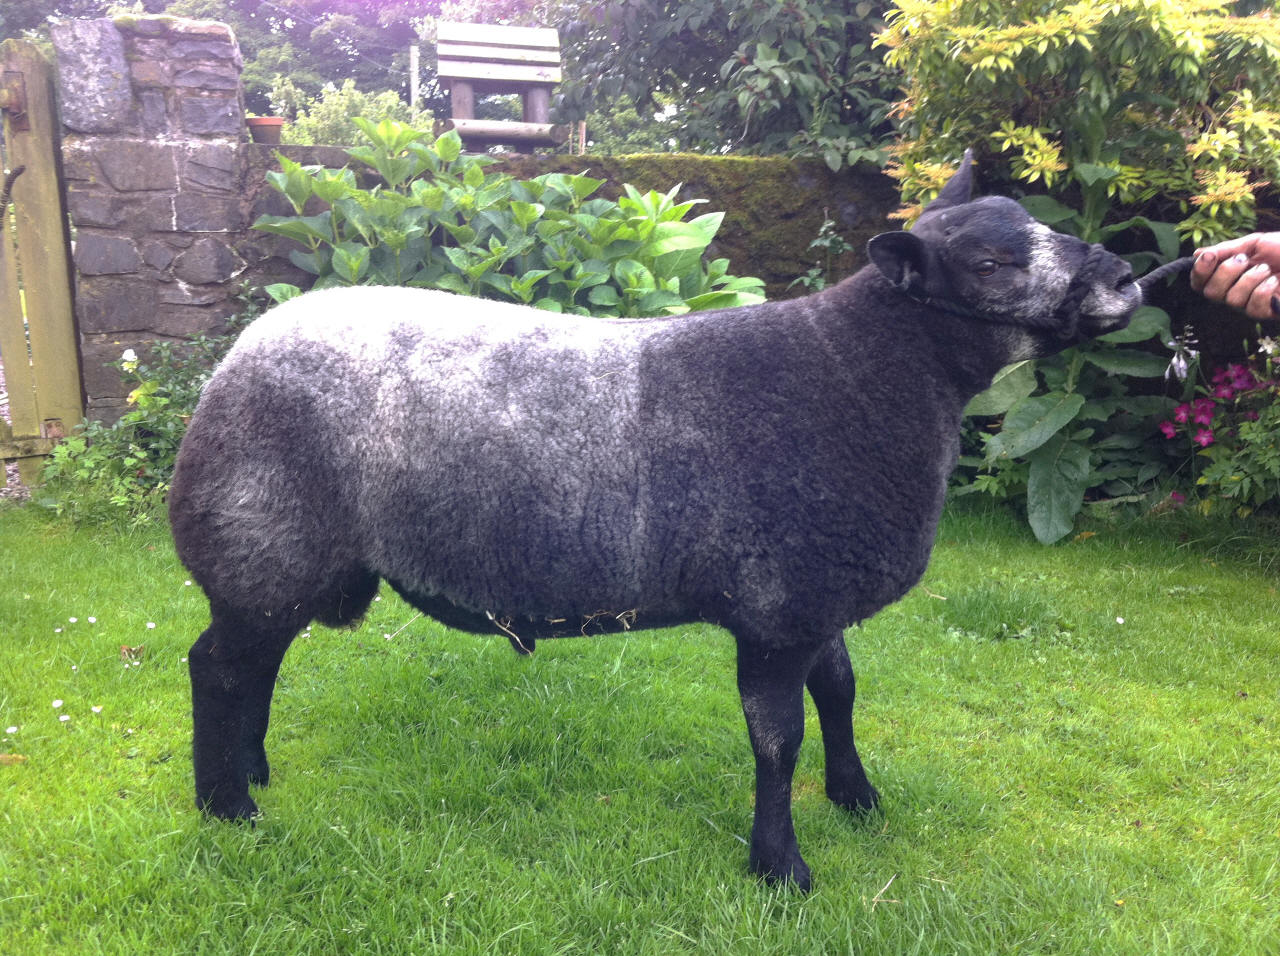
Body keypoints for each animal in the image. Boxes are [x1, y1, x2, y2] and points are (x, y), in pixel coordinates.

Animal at [169, 153, 1151, 891]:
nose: (1124, 278)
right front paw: (780, 868)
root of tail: (233, 361)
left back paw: (250, 772)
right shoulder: (777, 607)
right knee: (218, 668)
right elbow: (777, 739)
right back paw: (230, 809)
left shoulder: (812, 593)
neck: (867, 373)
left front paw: (858, 800)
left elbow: (840, 693)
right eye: (988, 264)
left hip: (280, 560)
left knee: (254, 666)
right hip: (264, 537)